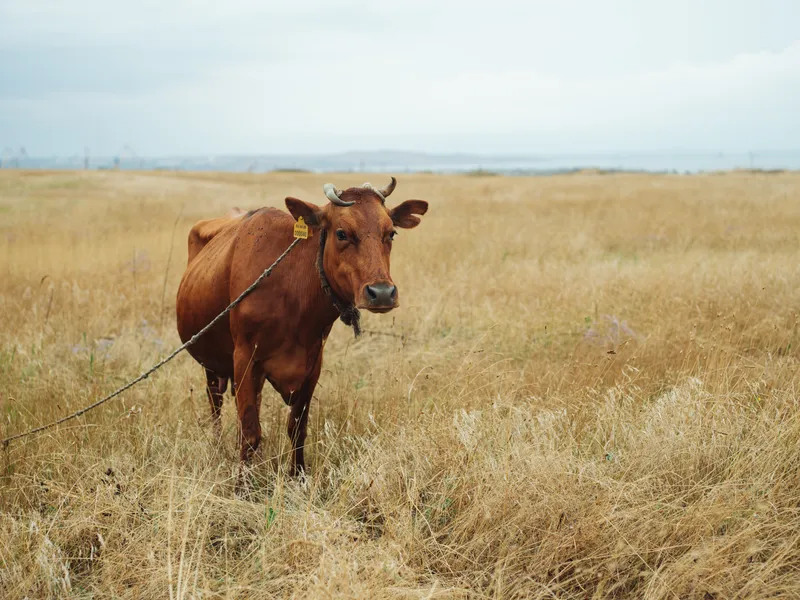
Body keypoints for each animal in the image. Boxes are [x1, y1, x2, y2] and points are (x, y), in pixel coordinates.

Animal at [176, 178, 428, 476]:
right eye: (341, 233)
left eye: (391, 234)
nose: (382, 293)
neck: (291, 291)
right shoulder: (244, 357)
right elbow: (250, 431)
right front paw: (243, 483)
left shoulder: (312, 363)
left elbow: (297, 429)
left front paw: (298, 475)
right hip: (211, 363)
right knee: (215, 403)